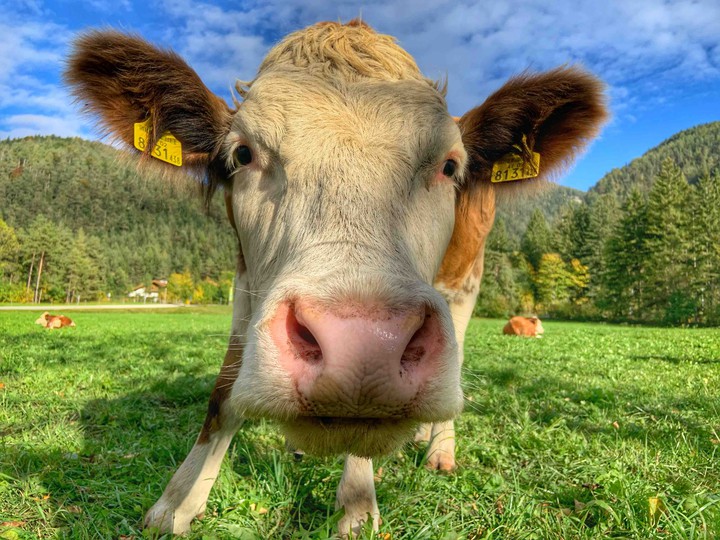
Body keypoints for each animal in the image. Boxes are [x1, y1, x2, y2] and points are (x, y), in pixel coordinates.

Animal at [65, 20, 607, 536]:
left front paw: (358, 507)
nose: (361, 347)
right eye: (242, 155)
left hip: (467, 279)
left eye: (450, 165)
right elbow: (224, 392)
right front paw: (176, 503)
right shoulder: (245, 278)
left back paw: (438, 448)